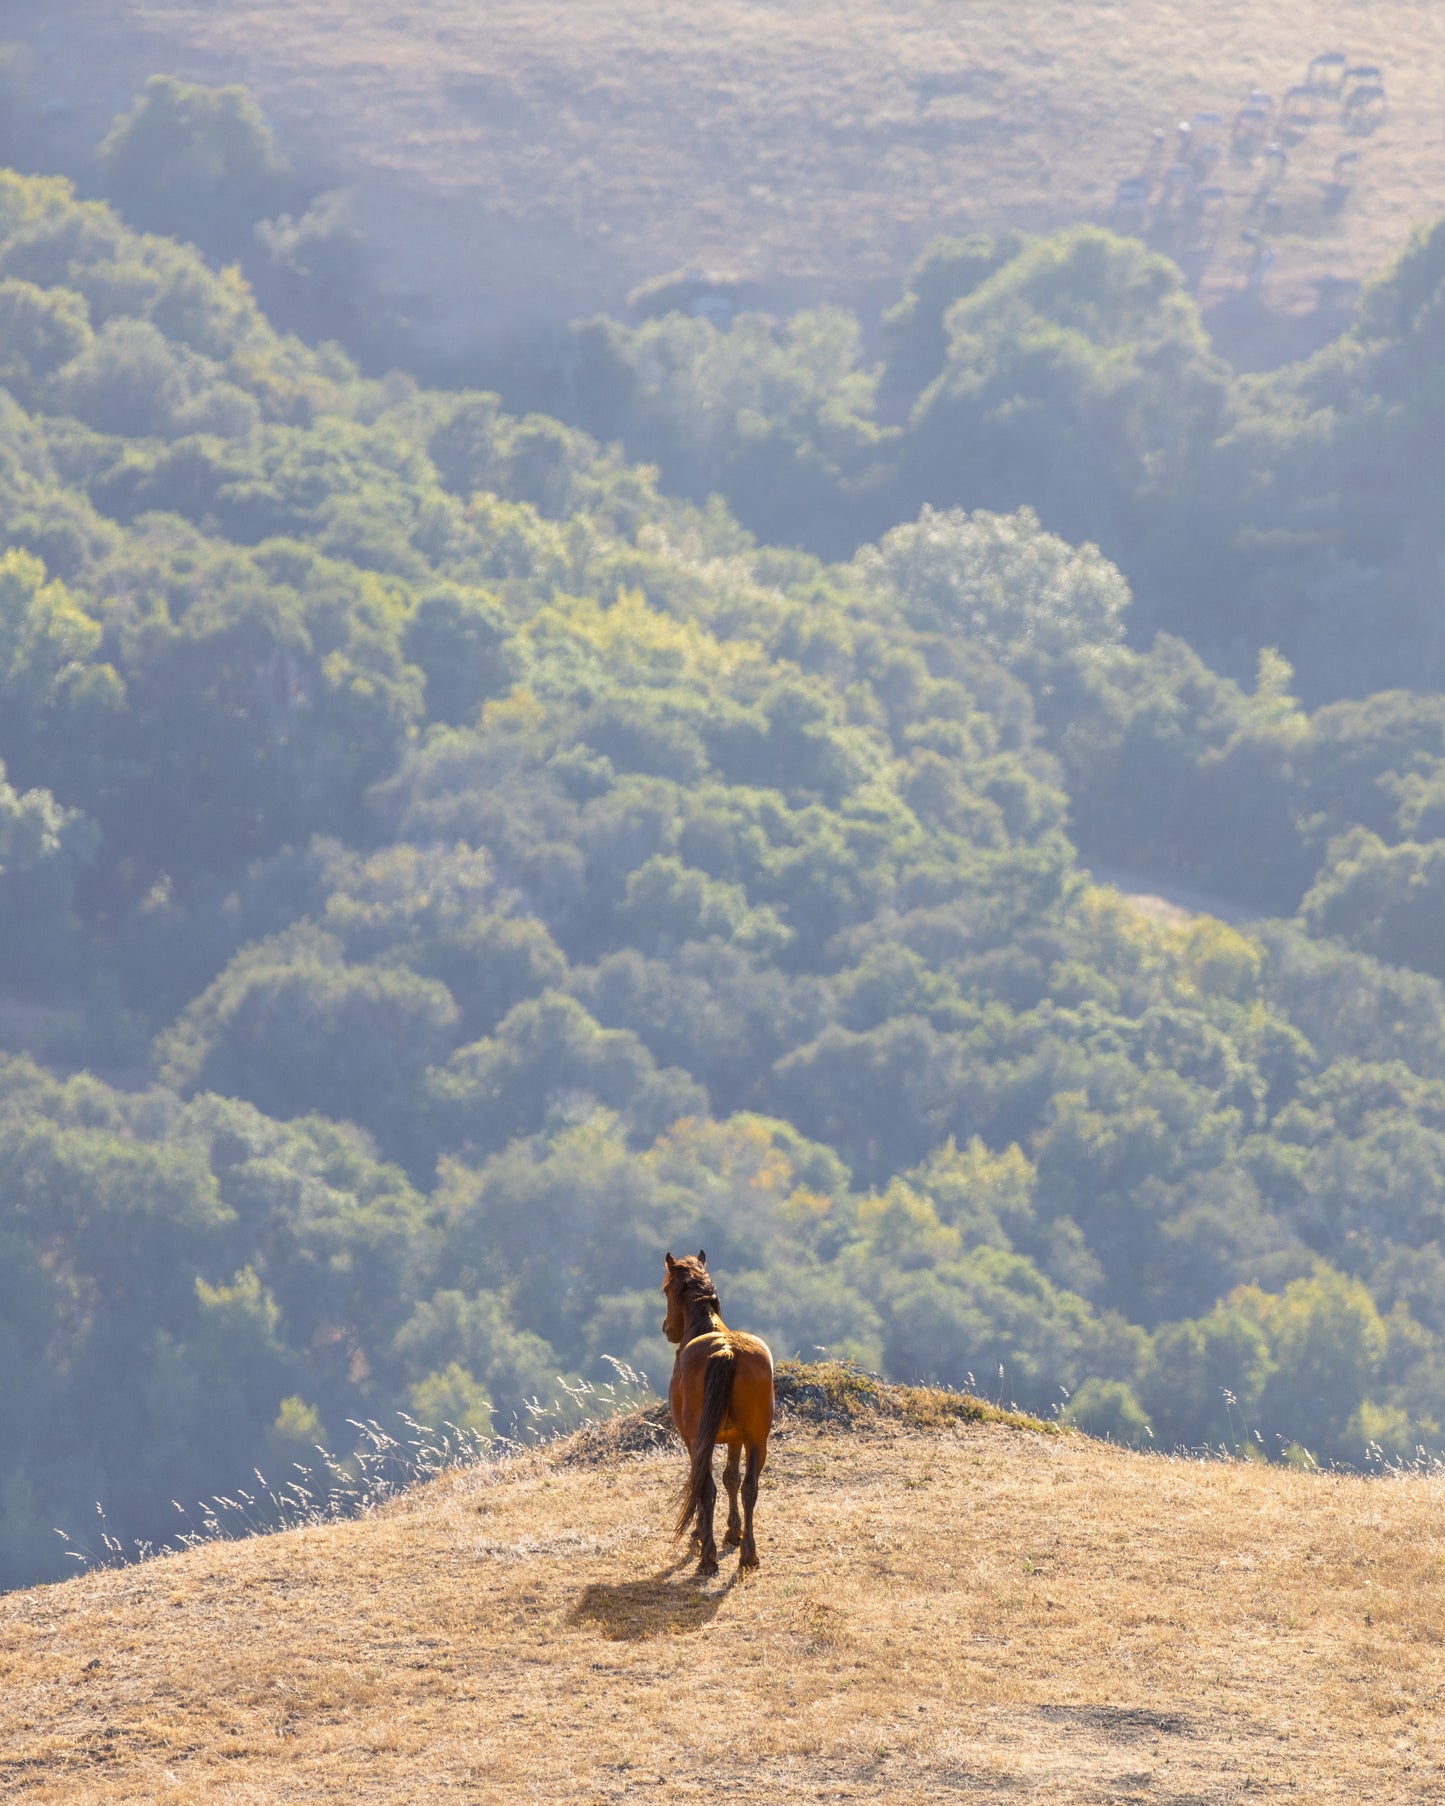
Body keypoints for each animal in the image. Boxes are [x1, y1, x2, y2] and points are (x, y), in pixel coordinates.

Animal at [664, 1249, 780, 1574]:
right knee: (750, 1487)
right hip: (757, 1440)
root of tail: (725, 1351)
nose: (667, 1328)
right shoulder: (736, 1439)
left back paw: (708, 1557)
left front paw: (701, 1532)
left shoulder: (693, 1442)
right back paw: (749, 1554)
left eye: (665, 1289)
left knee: (706, 1486)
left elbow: (704, 1483)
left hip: (700, 1439)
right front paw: (733, 1531)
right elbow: (732, 1479)